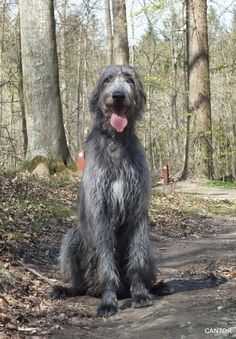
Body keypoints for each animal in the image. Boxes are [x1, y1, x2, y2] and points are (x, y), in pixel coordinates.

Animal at [52, 65, 158, 318]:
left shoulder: (138, 211)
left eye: (129, 80)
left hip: (150, 247)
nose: (118, 96)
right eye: (108, 79)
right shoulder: (101, 212)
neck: (116, 141)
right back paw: (68, 290)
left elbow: (136, 259)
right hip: (72, 238)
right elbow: (106, 261)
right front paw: (108, 302)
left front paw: (140, 294)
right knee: (79, 283)